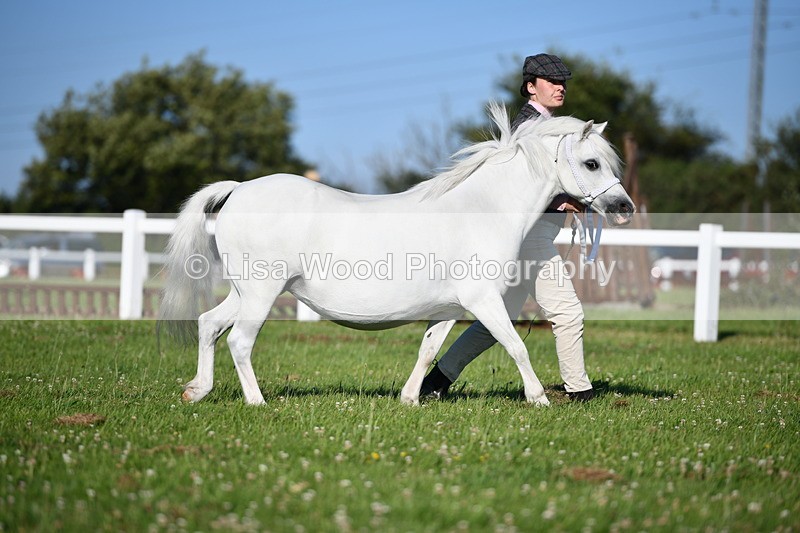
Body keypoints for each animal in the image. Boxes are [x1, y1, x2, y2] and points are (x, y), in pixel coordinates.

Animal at [159, 103, 635, 407]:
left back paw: (196, 391)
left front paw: (410, 399)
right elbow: (515, 345)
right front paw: (538, 399)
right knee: (239, 341)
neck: (480, 210)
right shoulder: (482, 301)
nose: (625, 207)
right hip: (261, 292)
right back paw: (256, 402)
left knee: (209, 325)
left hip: (246, 292)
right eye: (592, 163)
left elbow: (428, 351)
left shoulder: (448, 308)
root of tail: (239, 189)